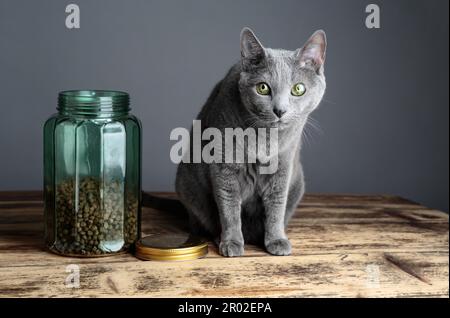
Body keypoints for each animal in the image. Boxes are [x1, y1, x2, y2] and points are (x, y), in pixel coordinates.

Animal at [146, 26, 326, 256]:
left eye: (298, 89)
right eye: (263, 88)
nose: (280, 110)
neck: (264, 138)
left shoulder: (283, 167)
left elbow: (276, 207)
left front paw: (276, 240)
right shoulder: (223, 167)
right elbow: (229, 208)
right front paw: (231, 242)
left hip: (298, 183)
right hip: (189, 186)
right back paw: (219, 236)